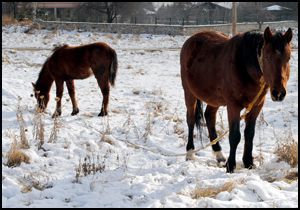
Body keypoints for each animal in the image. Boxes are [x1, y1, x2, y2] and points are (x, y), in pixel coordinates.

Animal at [180, 27, 292, 173]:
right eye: (267, 57)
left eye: (288, 58)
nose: (279, 93)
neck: (244, 66)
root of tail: (191, 39)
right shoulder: (233, 105)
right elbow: (235, 136)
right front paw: (230, 165)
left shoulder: (256, 106)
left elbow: (249, 134)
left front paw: (248, 162)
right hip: (189, 93)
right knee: (191, 120)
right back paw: (190, 152)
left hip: (214, 99)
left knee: (209, 116)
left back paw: (219, 155)